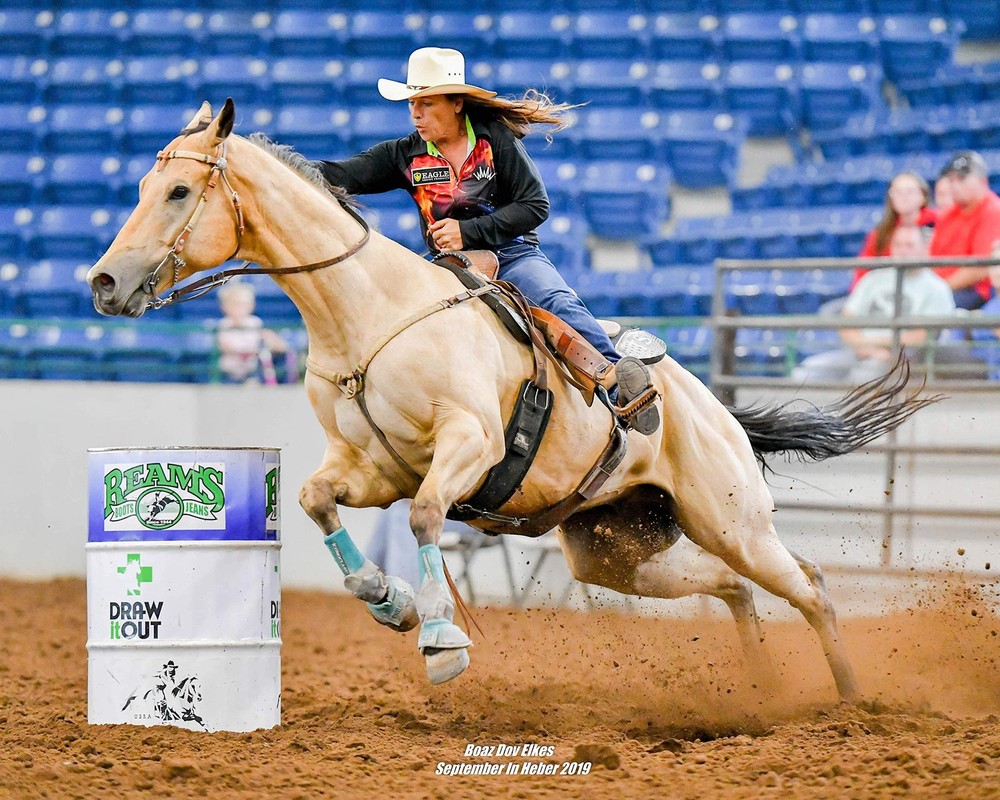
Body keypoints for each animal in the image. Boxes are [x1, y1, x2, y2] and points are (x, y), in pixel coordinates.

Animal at [88, 100, 935, 698]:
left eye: (178, 190)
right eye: (145, 186)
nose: (102, 281)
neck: (371, 314)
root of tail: (719, 412)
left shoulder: (470, 445)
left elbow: (428, 516)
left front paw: (439, 639)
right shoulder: (369, 468)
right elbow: (314, 500)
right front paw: (387, 600)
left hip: (732, 522)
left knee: (811, 589)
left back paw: (850, 702)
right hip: (615, 550)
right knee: (732, 587)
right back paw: (763, 691)